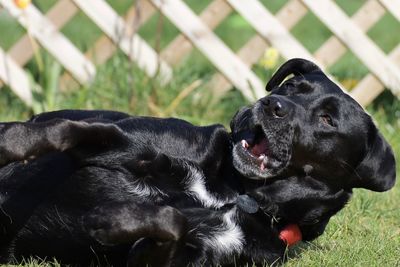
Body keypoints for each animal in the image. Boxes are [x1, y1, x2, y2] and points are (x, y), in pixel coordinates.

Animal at [0, 58, 396, 266]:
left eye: (327, 119)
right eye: (292, 88)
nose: (272, 105)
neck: (238, 192)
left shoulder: (171, 257)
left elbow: (171, 221)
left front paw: (111, 220)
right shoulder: (127, 142)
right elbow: (70, 129)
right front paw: (13, 139)